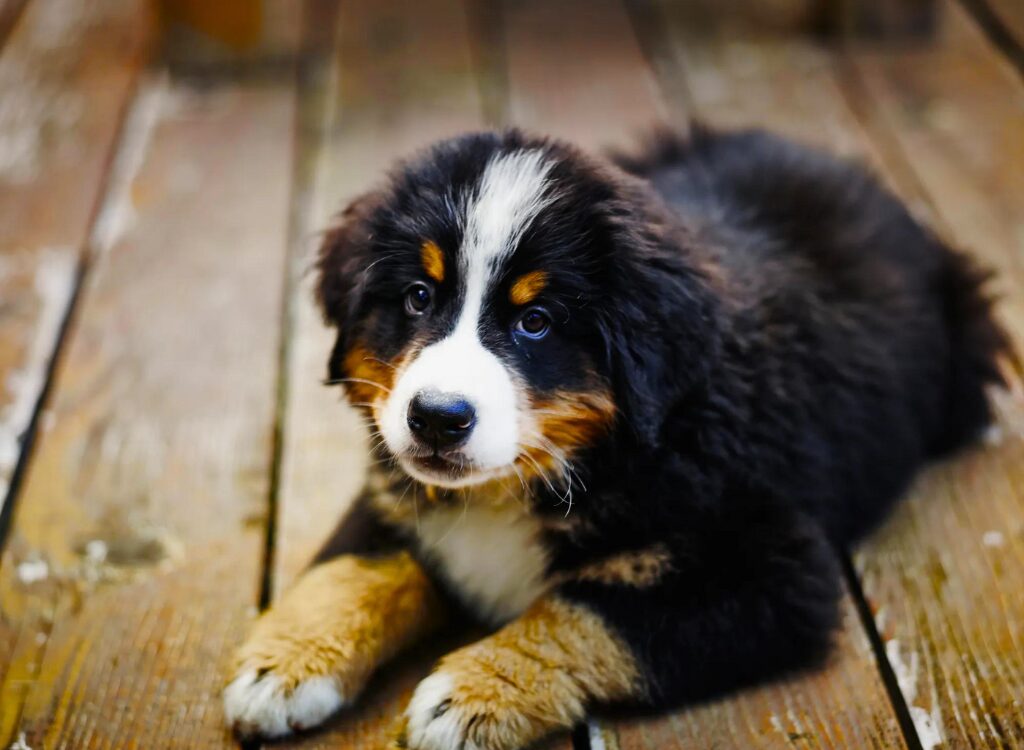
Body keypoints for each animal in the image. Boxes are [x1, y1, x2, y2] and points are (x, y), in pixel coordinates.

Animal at [224, 129, 1007, 750]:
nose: (438, 419)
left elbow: (588, 614)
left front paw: (473, 694)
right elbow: (356, 568)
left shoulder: (774, 573)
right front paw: (283, 663)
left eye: (535, 321)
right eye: (418, 297)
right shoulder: (395, 486)